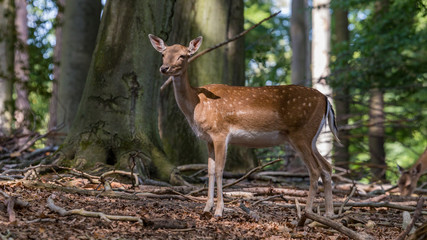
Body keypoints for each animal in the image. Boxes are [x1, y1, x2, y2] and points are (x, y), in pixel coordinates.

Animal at [149, 34, 342, 218]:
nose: (164, 68)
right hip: (311, 138)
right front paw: (206, 208)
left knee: (315, 170)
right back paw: (329, 213)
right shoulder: (208, 139)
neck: (197, 105)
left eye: (183, 55)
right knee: (326, 167)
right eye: (163, 54)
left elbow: (219, 170)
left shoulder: (220, 132)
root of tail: (325, 99)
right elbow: (209, 171)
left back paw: (307, 213)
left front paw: (219, 211)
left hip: (301, 134)